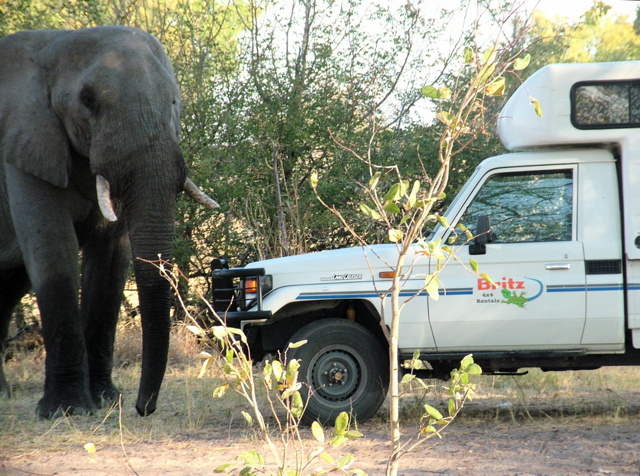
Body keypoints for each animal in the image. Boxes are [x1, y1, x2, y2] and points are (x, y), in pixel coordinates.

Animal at [0, 26, 219, 418]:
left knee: (10, 284)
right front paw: (67, 411)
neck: (55, 45)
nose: (142, 408)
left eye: (174, 102)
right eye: (87, 101)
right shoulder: (25, 137)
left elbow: (111, 262)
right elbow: (54, 250)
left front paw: (105, 400)